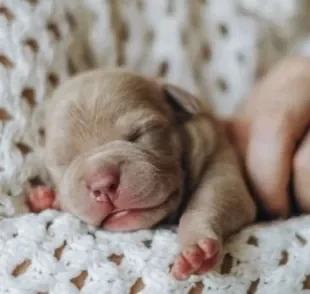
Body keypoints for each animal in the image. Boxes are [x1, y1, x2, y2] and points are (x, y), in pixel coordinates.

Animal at [27, 69, 256, 280]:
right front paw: (46, 197)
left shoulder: (219, 158)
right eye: (63, 162)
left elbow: (212, 199)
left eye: (139, 135)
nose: (102, 184)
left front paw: (196, 247)